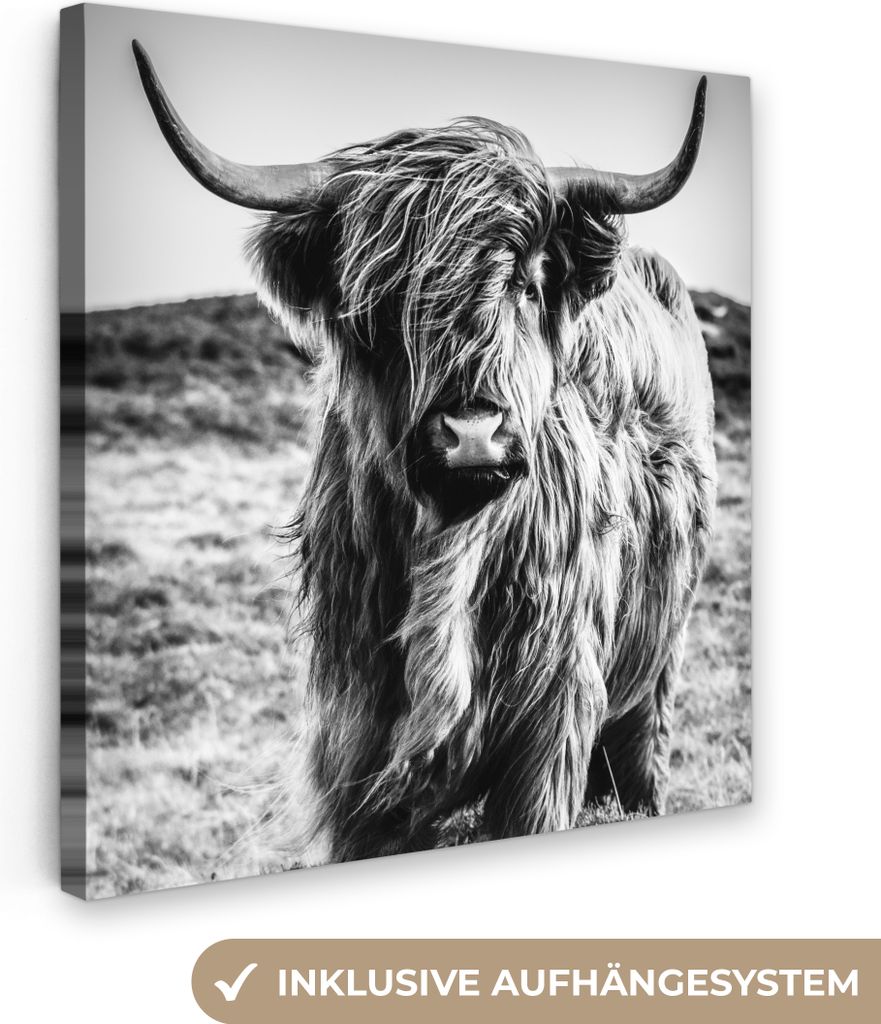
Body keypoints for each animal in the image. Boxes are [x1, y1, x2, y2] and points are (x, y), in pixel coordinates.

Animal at [133, 40, 717, 864]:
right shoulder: (354, 739)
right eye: (380, 302)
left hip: (657, 668)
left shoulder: (554, 722)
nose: (472, 432)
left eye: (527, 284)